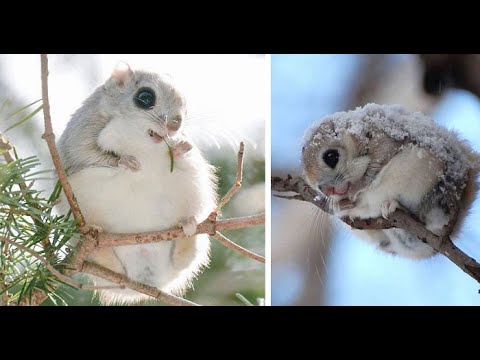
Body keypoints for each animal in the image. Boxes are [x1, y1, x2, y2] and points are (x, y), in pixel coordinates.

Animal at [55, 64, 218, 304]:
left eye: (185, 106)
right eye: (145, 97)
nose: (175, 124)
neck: (144, 146)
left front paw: (181, 146)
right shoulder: (81, 133)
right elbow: (86, 153)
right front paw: (125, 162)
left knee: (184, 259)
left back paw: (188, 226)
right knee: (106, 262)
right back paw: (96, 238)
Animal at [304, 103, 480, 258]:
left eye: (331, 157)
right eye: (312, 183)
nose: (326, 190)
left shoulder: (383, 143)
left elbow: (372, 172)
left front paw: (356, 191)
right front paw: (338, 204)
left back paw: (393, 205)